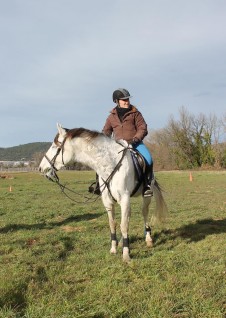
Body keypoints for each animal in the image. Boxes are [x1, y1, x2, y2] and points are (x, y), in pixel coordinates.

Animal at [38, 123, 168, 262]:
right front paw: (114, 248)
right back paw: (122, 242)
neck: (110, 165)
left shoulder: (124, 199)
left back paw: (148, 238)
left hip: (146, 196)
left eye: (54, 146)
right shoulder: (108, 202)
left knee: (144, 213)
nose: (41, 168)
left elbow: (123, 225)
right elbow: (113, 224)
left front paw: (126, 255)